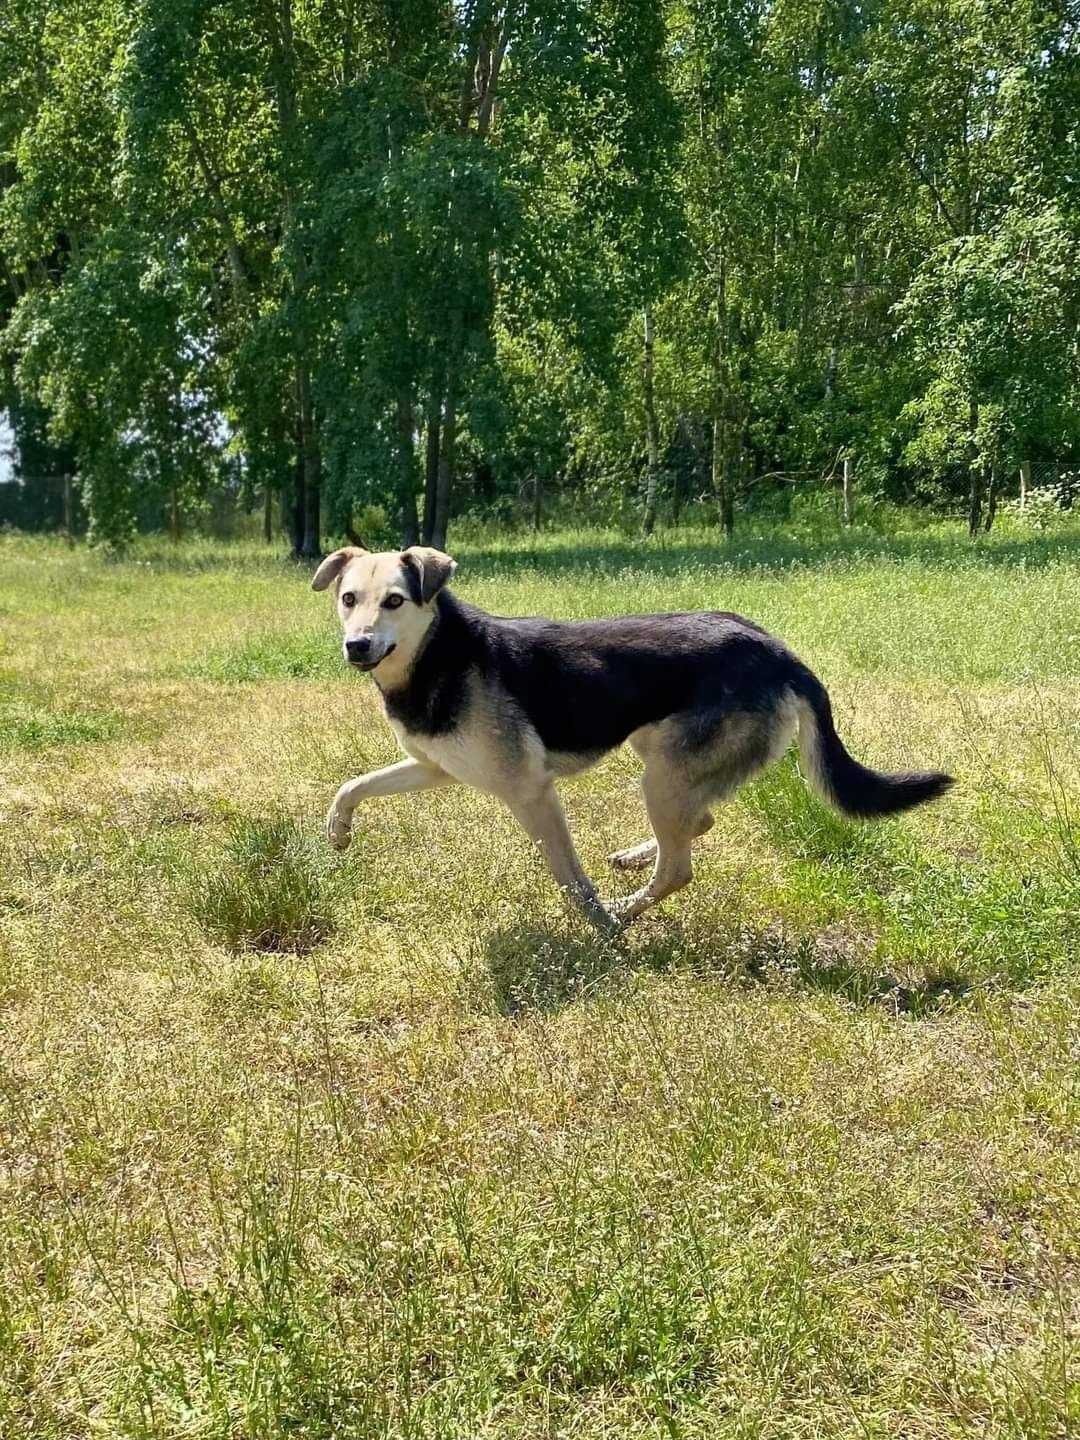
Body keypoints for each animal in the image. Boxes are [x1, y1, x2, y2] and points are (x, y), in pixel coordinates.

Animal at [312, 544, 956, 927]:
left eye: (395, 600)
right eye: (349, 600)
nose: (357, 645)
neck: (436, 655)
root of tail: (779, 652)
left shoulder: (531, 793)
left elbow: (569, 877)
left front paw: (598, 927)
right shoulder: (434, 768)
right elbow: (354, 785)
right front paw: (339, 832)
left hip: (661, 775)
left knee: (679, 868)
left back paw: (624, 910)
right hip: (666, 766)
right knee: (699, 823)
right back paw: (636, 859)